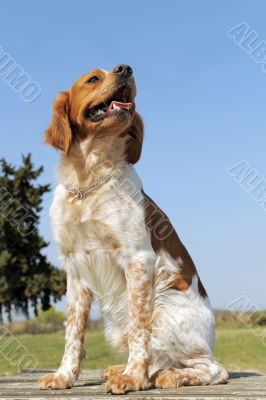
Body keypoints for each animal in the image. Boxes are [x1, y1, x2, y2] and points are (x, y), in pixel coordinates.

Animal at [38, 64, 228, 392]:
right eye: (93, 78)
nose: (125, 68)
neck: (88, 181)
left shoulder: (138, 258)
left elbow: (140, 330)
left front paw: (132, 377)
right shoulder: (74, 268)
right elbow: (72, 332)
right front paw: (64, 376)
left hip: (164, 311)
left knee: (214, 369)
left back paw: (169, 375)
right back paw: (123, 369)